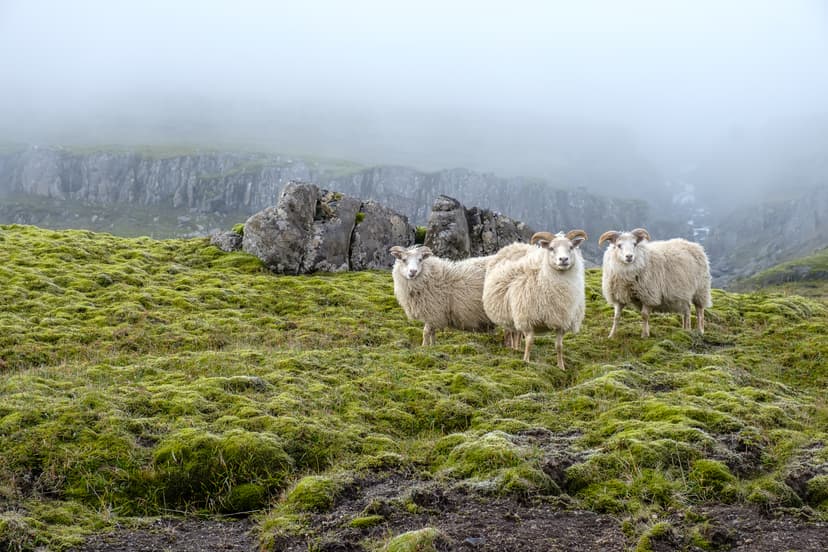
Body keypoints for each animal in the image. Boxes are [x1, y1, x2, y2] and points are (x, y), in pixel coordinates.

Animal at [483, 230, 588, 369]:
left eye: (571, 247)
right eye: (551, 248)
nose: (563, 259)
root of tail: (515, 245)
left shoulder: (561, 321)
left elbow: (559, 346)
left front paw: (561, 367)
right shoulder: (528, 319)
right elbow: (530, 342)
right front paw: (526, 361)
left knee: (517, 333)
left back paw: (517, 348)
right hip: (509, 314)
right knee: (510, 332)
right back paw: (512, 348)